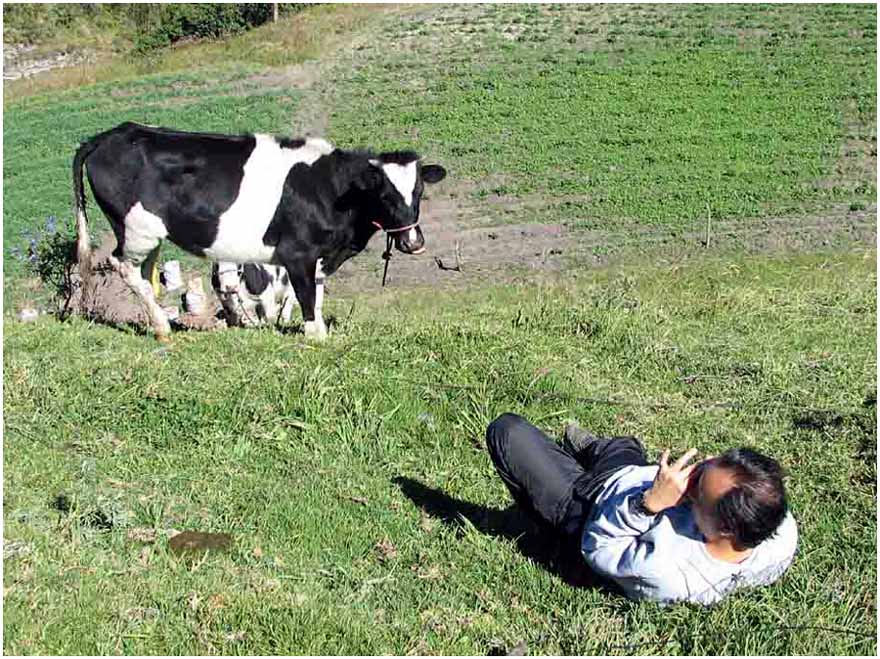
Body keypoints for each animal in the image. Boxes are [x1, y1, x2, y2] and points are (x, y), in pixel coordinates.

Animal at [73, 121, 446, 342]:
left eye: (419, 192)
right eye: (384, 194)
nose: (414, 242)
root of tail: (113, 133)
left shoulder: (320, 258)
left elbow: (317, 295)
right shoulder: (298, 253)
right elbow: (306, 297)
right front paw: (315, 337)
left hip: (149, 235)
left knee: (145, 272)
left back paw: (159, 325)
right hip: (135, 230)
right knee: (122, 265)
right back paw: (162, 327)